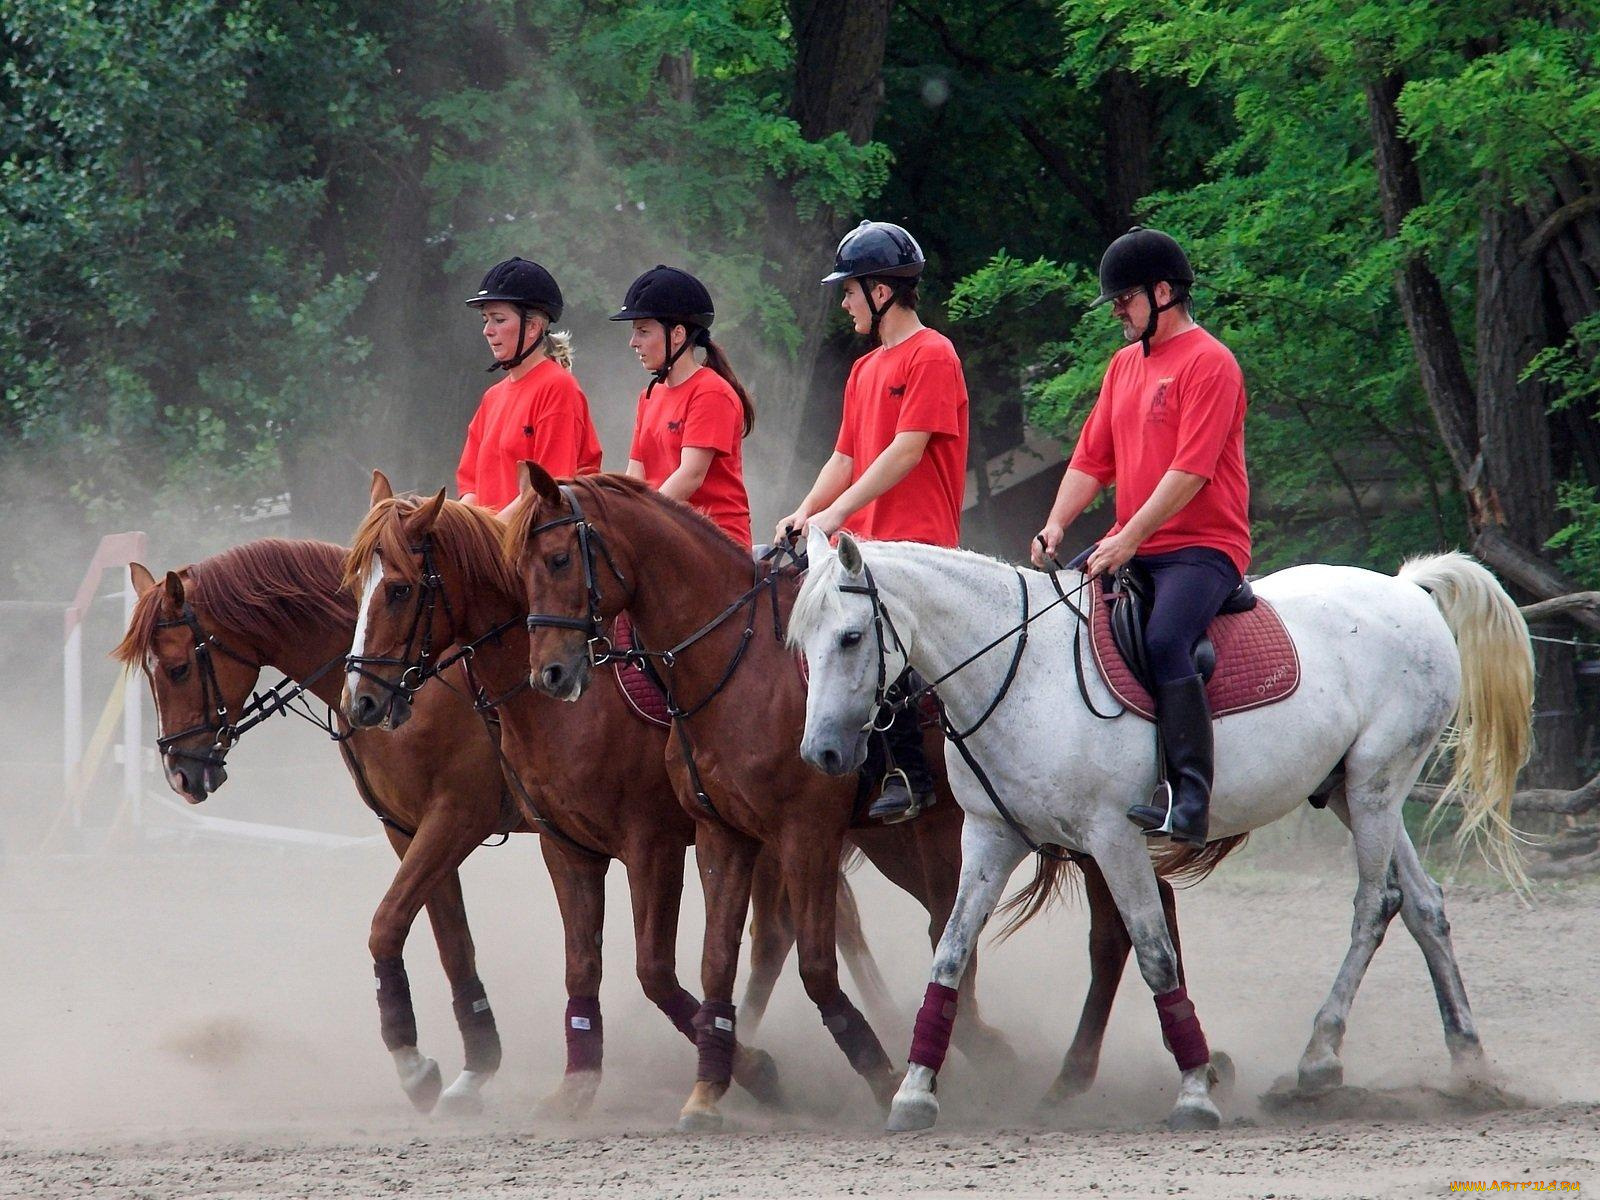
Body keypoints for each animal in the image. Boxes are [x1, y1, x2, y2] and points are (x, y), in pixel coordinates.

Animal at [118, 534, 883, 1120]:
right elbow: (451, 944)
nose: (181, 772)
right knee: (792, 931)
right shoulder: (410, 832)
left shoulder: (456, 819)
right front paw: (472, 1066)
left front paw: (416, 1066)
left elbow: (387, 925)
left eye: (178, 667)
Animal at [505, 473, 1216, 1139]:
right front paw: (711, 1086)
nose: (551, 673)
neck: (735, 669)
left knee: (1110, 928)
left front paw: (875, 1071)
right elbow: (711, 964)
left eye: (560, 560)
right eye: (521, 569)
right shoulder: (715, 834)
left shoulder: (792, 834)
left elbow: (814, 965)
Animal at [793, 528, 1529, 1139]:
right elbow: (949, 954)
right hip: (1351, 791)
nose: (821, 753)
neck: (1022, 675)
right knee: (1424, 903)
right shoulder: (991, 837)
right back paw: (1469, 1065)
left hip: (1377, 783)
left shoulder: (1112, 840)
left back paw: (1320, 1059)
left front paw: (1195, 1093)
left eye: (851, 638)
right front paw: (914, 1093)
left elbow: (1154, 954)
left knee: (1376, 903)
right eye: (801, 643)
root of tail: (1407, 589)